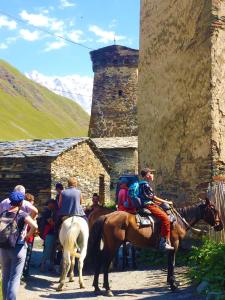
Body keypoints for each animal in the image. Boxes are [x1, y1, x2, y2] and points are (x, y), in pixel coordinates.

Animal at [88, 199, 223, 296]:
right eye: (214, 210)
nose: (220, 225)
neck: (178, 220)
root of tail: (106, 216)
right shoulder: (175, 244)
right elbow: (172, 263)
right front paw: (173, 285)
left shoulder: (170, 247)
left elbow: (169, 263)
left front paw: (171, 282)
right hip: (113, 245)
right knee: (105, 263)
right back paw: (107, 289)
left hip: (107, 244)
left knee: (99, 260)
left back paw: (96, 287)